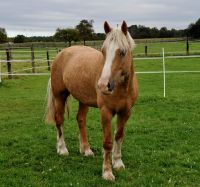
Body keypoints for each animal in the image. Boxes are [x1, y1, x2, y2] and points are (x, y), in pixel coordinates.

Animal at [45, 20, 138, 181]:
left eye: (122, 52)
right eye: (103, 51)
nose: (103, 85)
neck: (121, 88)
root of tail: (61, 53)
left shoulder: (126, 112)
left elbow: (118, 137)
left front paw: (118, 163)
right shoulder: (106, 112)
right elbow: (107, 142)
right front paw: (107, 172)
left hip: (83, 100)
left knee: (80, 120)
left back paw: (86, 150)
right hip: (59, 96)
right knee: (59, 120)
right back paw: (62, 149)